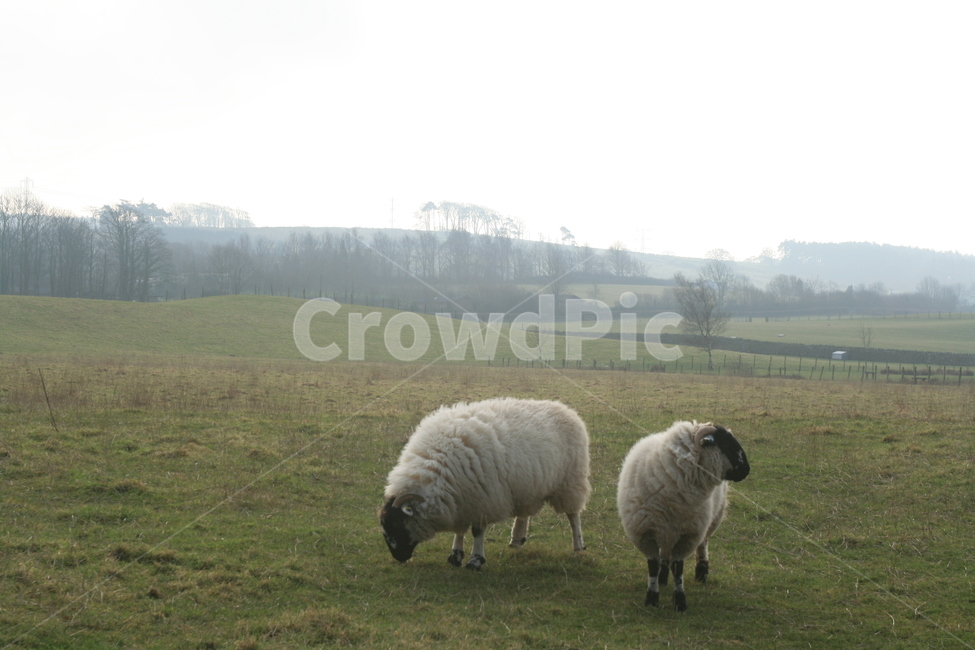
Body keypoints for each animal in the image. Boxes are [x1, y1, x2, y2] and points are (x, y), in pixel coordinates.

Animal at [379, 397, 591, 570]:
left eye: (397, 525)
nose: (399, 558)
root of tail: (565, 408)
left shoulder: (482, 499)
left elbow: (477, 531)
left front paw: (475, 561)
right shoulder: (460, 499)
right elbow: (459, 530)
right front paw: (455, 556)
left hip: (570, 481)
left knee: (573, 516)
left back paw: (578, 546)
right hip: (528, 485)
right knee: (524, 512)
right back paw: (517, 538)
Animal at [616, 420, 750, 611]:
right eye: (725, 443)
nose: (747, 470)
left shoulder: (688, 536)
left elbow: (678, 568)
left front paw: (680, 601)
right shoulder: (644, 533)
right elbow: (653, 566)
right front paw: (652, 598)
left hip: (708, 522)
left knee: (702, 544)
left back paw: (701, 571)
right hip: (667, 531)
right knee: (665, 555)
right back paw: (663, 578)